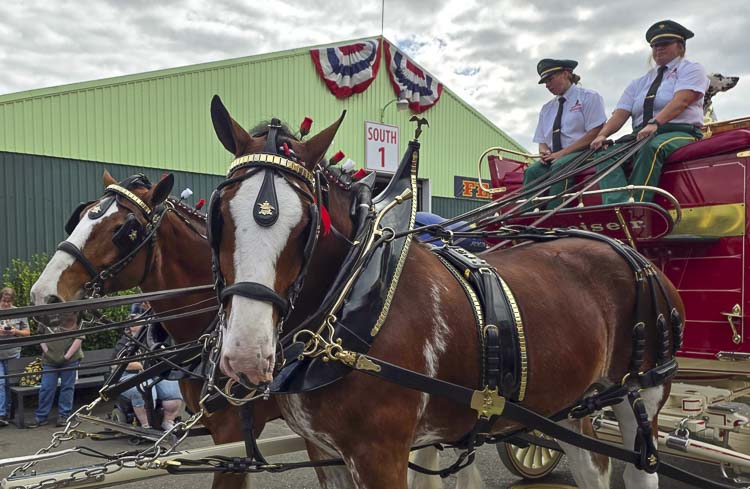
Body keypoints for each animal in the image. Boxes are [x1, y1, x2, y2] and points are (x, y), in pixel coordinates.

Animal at [208, 95, 684, 489]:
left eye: (306, 225)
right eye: (220, 216)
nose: (246, 355)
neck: (355, 294)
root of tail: (627, 251)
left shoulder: (381, 454)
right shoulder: (324, 451)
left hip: (641, 392)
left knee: (641, 469)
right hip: (570, 399)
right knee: (592, 465)